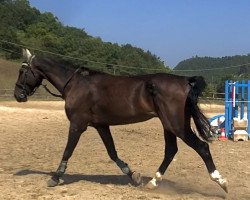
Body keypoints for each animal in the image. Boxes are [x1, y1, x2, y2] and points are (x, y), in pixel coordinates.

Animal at [13, 48, 229, 192]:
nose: (18, 95)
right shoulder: (101, 126)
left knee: (201, 147)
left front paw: (55, 177)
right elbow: (112, 152)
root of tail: (184, 81)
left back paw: (221, 181)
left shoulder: (77, 124)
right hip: (169, 125)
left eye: (23, 71)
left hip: (177, 126)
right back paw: (153, 182)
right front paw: (134, 176)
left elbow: (68, 151)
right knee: (170, 151)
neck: (76, 84)